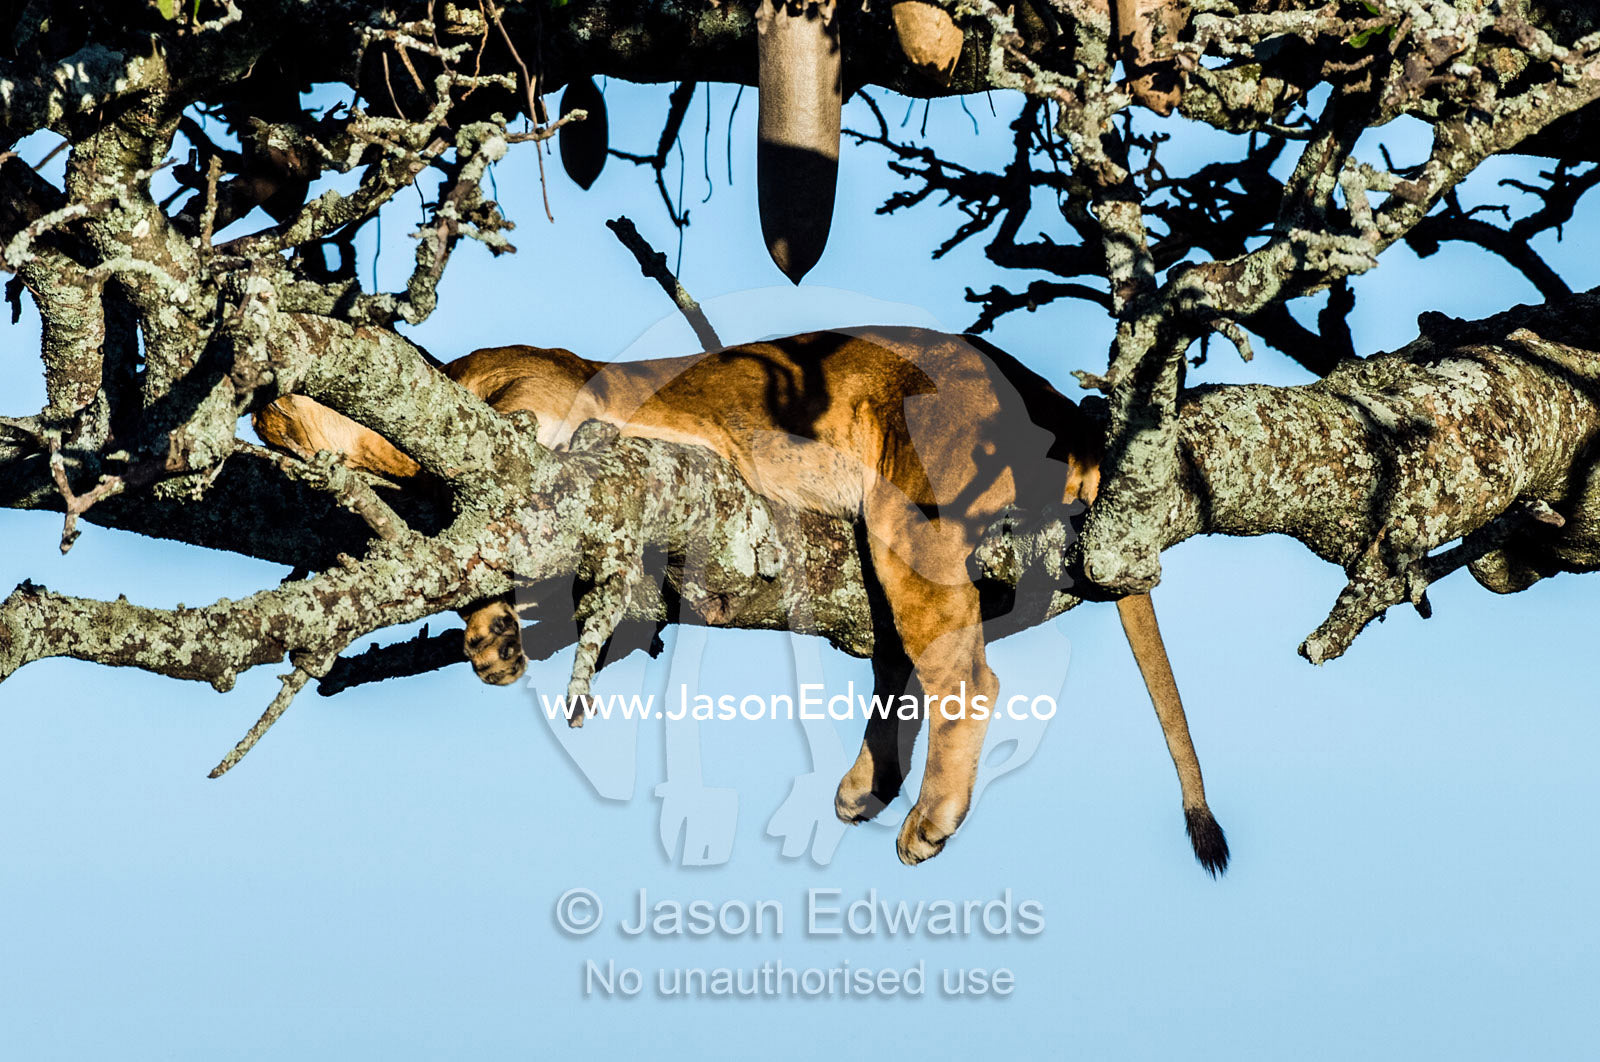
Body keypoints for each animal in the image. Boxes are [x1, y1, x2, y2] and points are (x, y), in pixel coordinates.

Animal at [256, 326, 1227, 872]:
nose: (257, 409)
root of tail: (1051, 397)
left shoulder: (552, 425)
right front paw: (493, 640)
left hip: (909, 510)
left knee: (966, 678)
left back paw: (928, 820)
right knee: (905, 666)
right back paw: (865, 788)